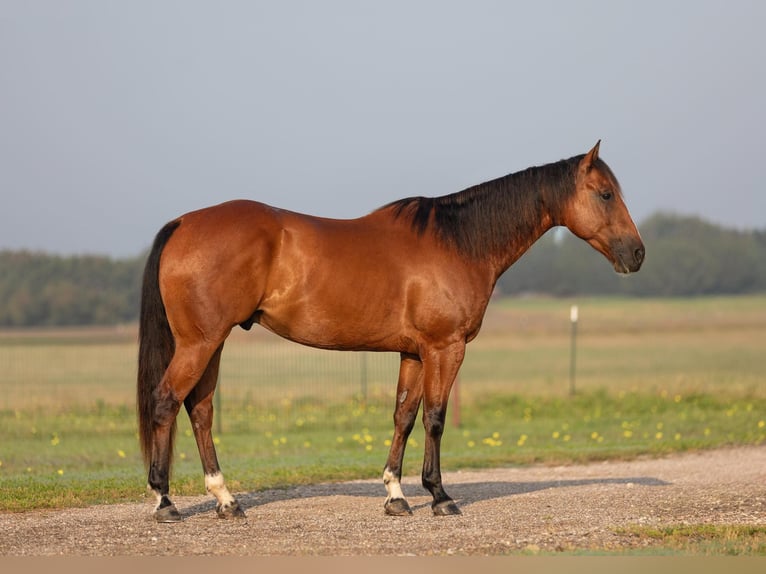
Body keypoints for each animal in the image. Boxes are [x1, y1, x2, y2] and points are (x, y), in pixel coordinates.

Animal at [136, 142, 640, 524]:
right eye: (605, 194)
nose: (637, 253)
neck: (459, 243)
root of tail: (184, 222)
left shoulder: (414, 353)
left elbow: (404, 416)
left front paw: (396, 495)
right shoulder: (445, 348)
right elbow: (435, 418)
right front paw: (439, 496)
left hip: (213, 342)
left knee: (200, 412)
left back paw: (226, 500)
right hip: (200, 343)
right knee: (166, 402)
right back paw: (165, 502)